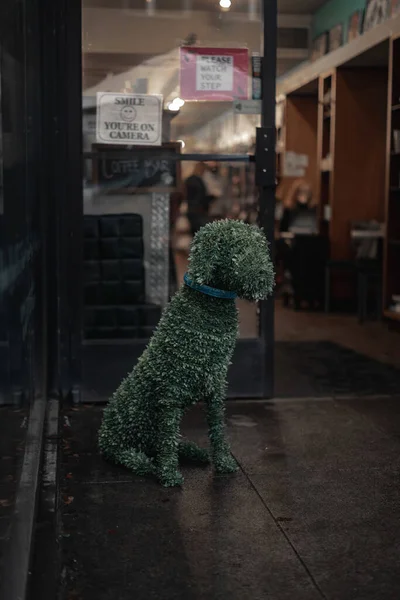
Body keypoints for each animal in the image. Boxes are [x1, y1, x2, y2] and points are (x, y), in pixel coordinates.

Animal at [99, 218, 276, 486]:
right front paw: (169, 475)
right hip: (128, 423)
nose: (264, 277)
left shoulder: (216, 388)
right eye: (237, 249)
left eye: (260, 246)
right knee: (123, 452)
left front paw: (224, 462)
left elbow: (218, 429)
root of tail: (103, 429)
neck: (210, 305)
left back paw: (194, 452)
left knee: (158, 443)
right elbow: (168, 439)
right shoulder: (170, 394)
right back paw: (146, 463)